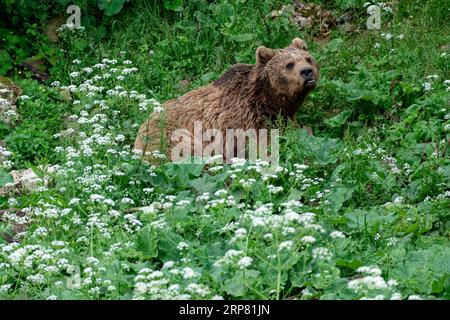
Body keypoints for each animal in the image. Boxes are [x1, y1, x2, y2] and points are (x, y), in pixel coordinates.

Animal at [134, 37, 320, 162]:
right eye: (289, 64)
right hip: (169, 136)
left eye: (308, 58)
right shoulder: (243, 120)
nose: (306, 71)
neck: (268, 99)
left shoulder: (280, 115)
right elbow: (261, 142)